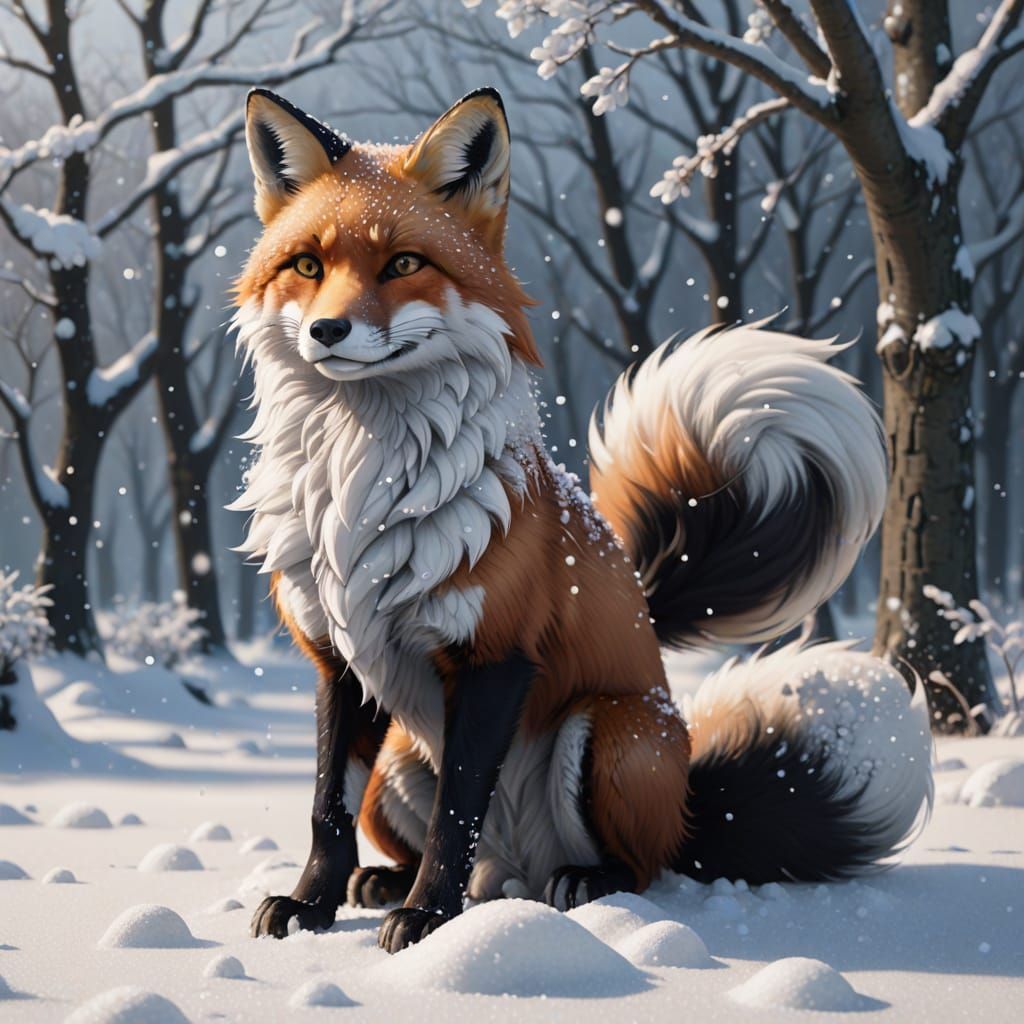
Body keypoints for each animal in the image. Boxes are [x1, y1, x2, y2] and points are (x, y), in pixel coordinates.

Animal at [231, 86, 933, 953]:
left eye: (402, 264)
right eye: (307, 265)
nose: (327, 331)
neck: (362, 486)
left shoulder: (496, 658)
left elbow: (457, 812)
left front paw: (427, 920)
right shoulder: (337, 658)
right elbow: (327, 806)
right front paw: (310, 907)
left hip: (611, 731)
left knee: (640, 865)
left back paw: (577, 883)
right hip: (397, 762)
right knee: (439, 844)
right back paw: (388, 881)